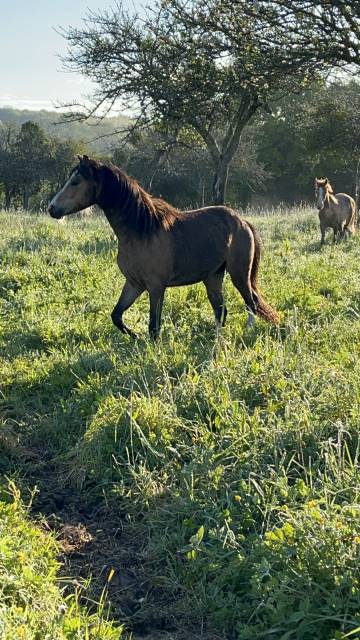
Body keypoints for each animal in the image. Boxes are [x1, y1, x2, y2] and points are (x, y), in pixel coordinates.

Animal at [48, 156, 278, 340]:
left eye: (75, 181)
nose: (52, 208)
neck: (142, 230)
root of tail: (243, 222)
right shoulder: (134, 284)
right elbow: (117, 315)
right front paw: (135, 336)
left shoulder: (156, 287)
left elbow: (153, 326)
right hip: (213, 276)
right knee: (221, 310)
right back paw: (216, 339)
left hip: (239, 274)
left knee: (251, 303)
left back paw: (247, 332)